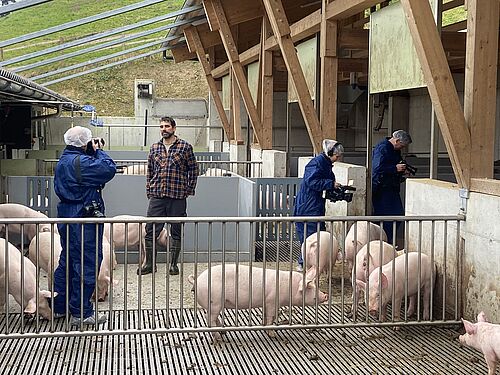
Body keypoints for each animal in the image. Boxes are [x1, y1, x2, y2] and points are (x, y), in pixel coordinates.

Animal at [188, 266, 328, 342]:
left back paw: (223, 332)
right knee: (209, 319)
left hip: (216, 304)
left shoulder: (267, 302)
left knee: (213, 318)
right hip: (214, 302)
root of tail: (197, 280)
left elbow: (267, 316)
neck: (290, 287)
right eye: (311, 287)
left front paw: (265, 327)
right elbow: (271, 316)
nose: (325, 295)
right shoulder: (272, 300)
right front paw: (272, 334)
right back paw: (219, 338)